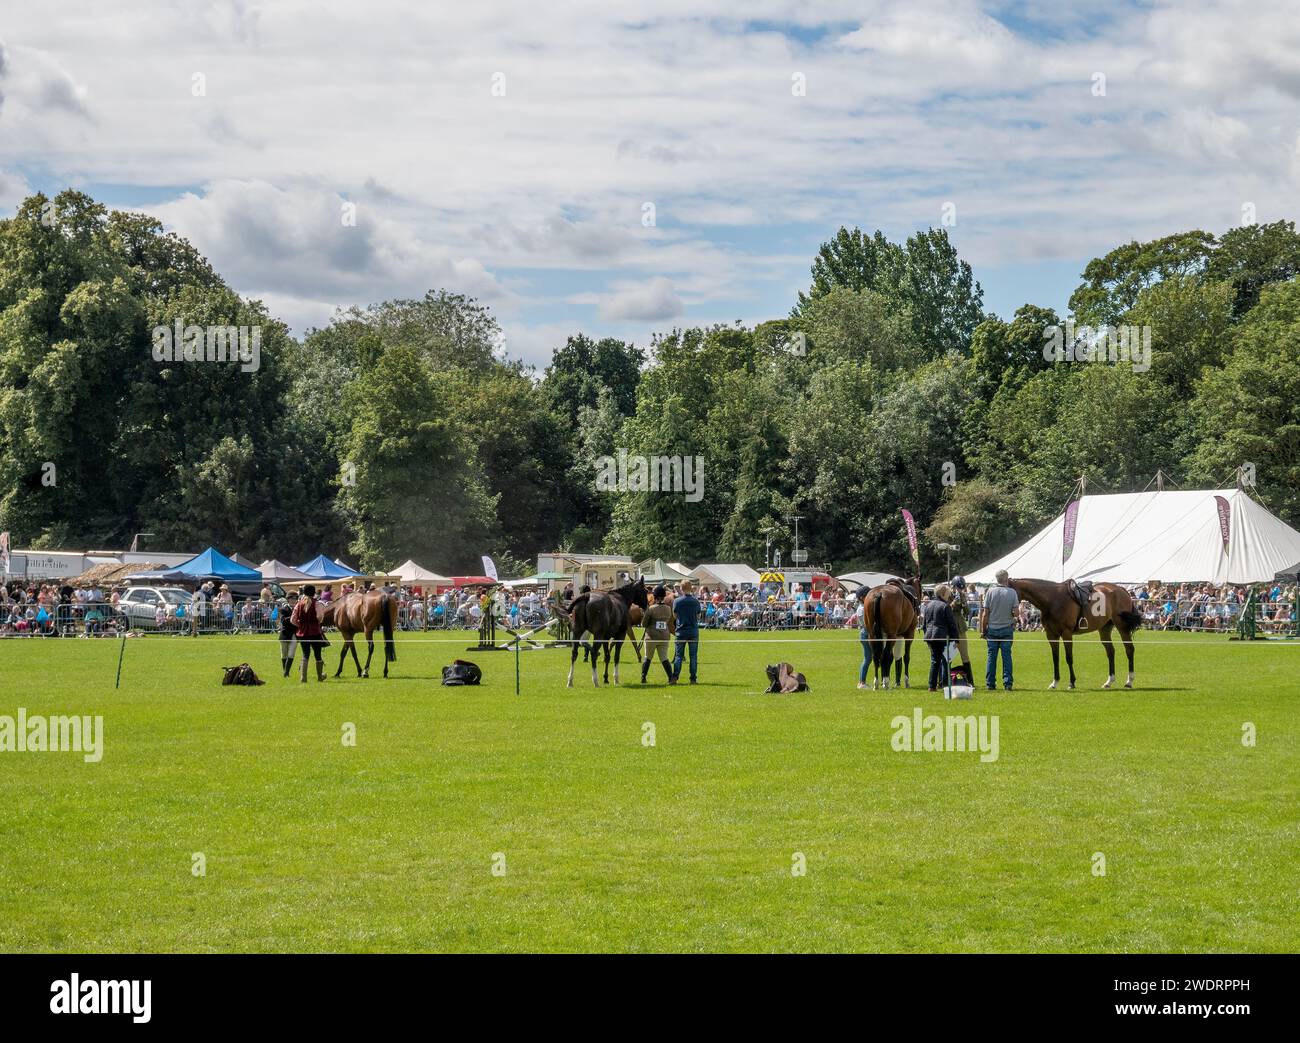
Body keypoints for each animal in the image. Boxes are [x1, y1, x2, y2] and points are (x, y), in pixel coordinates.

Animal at [1008, 577, 1144, 691]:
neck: (1052, 599)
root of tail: (1122, 589)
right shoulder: (1051, 635)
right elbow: (1055, 658)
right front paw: (1054, 683)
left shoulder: (1066, 634)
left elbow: (1069, 658)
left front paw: (1072, 683)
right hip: (1105, 628)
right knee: (1110, 652)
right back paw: (1109, 682)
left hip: (1122, 627)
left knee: (1129, 649)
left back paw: (1129, 681)